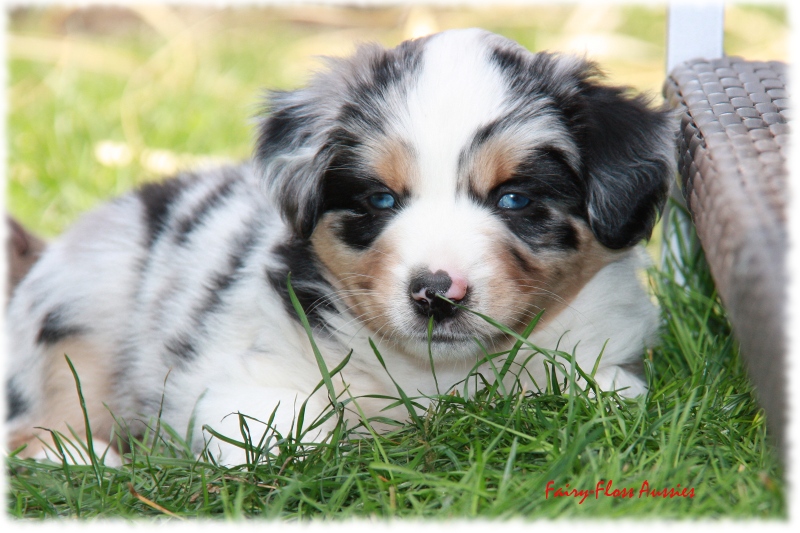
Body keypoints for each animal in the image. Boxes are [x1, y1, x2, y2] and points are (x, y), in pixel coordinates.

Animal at [6, 29, 676, 464]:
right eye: (380, 199)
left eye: (514, 199)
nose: (437, 294)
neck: (441, 377)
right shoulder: (230, 381)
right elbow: (293, 435)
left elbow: (599, 389)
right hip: (84, 307)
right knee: (35, 421)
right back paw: (82, 458)